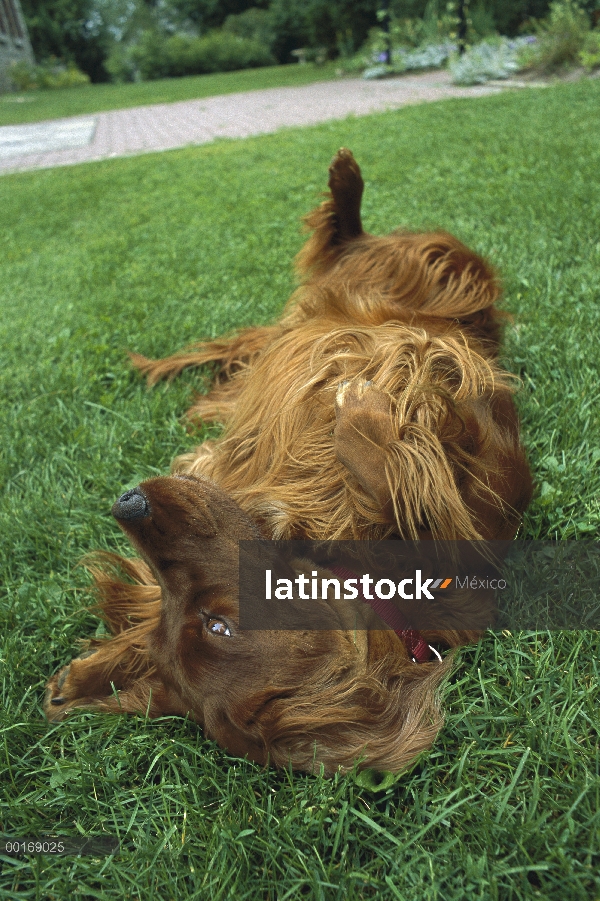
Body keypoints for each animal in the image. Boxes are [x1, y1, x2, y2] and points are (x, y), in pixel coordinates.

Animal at [48, 149, 536, 772]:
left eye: (218, 624)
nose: (127, 504)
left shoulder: (491, 446)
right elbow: (423, 497)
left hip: (431, 280)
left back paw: (346, 185)